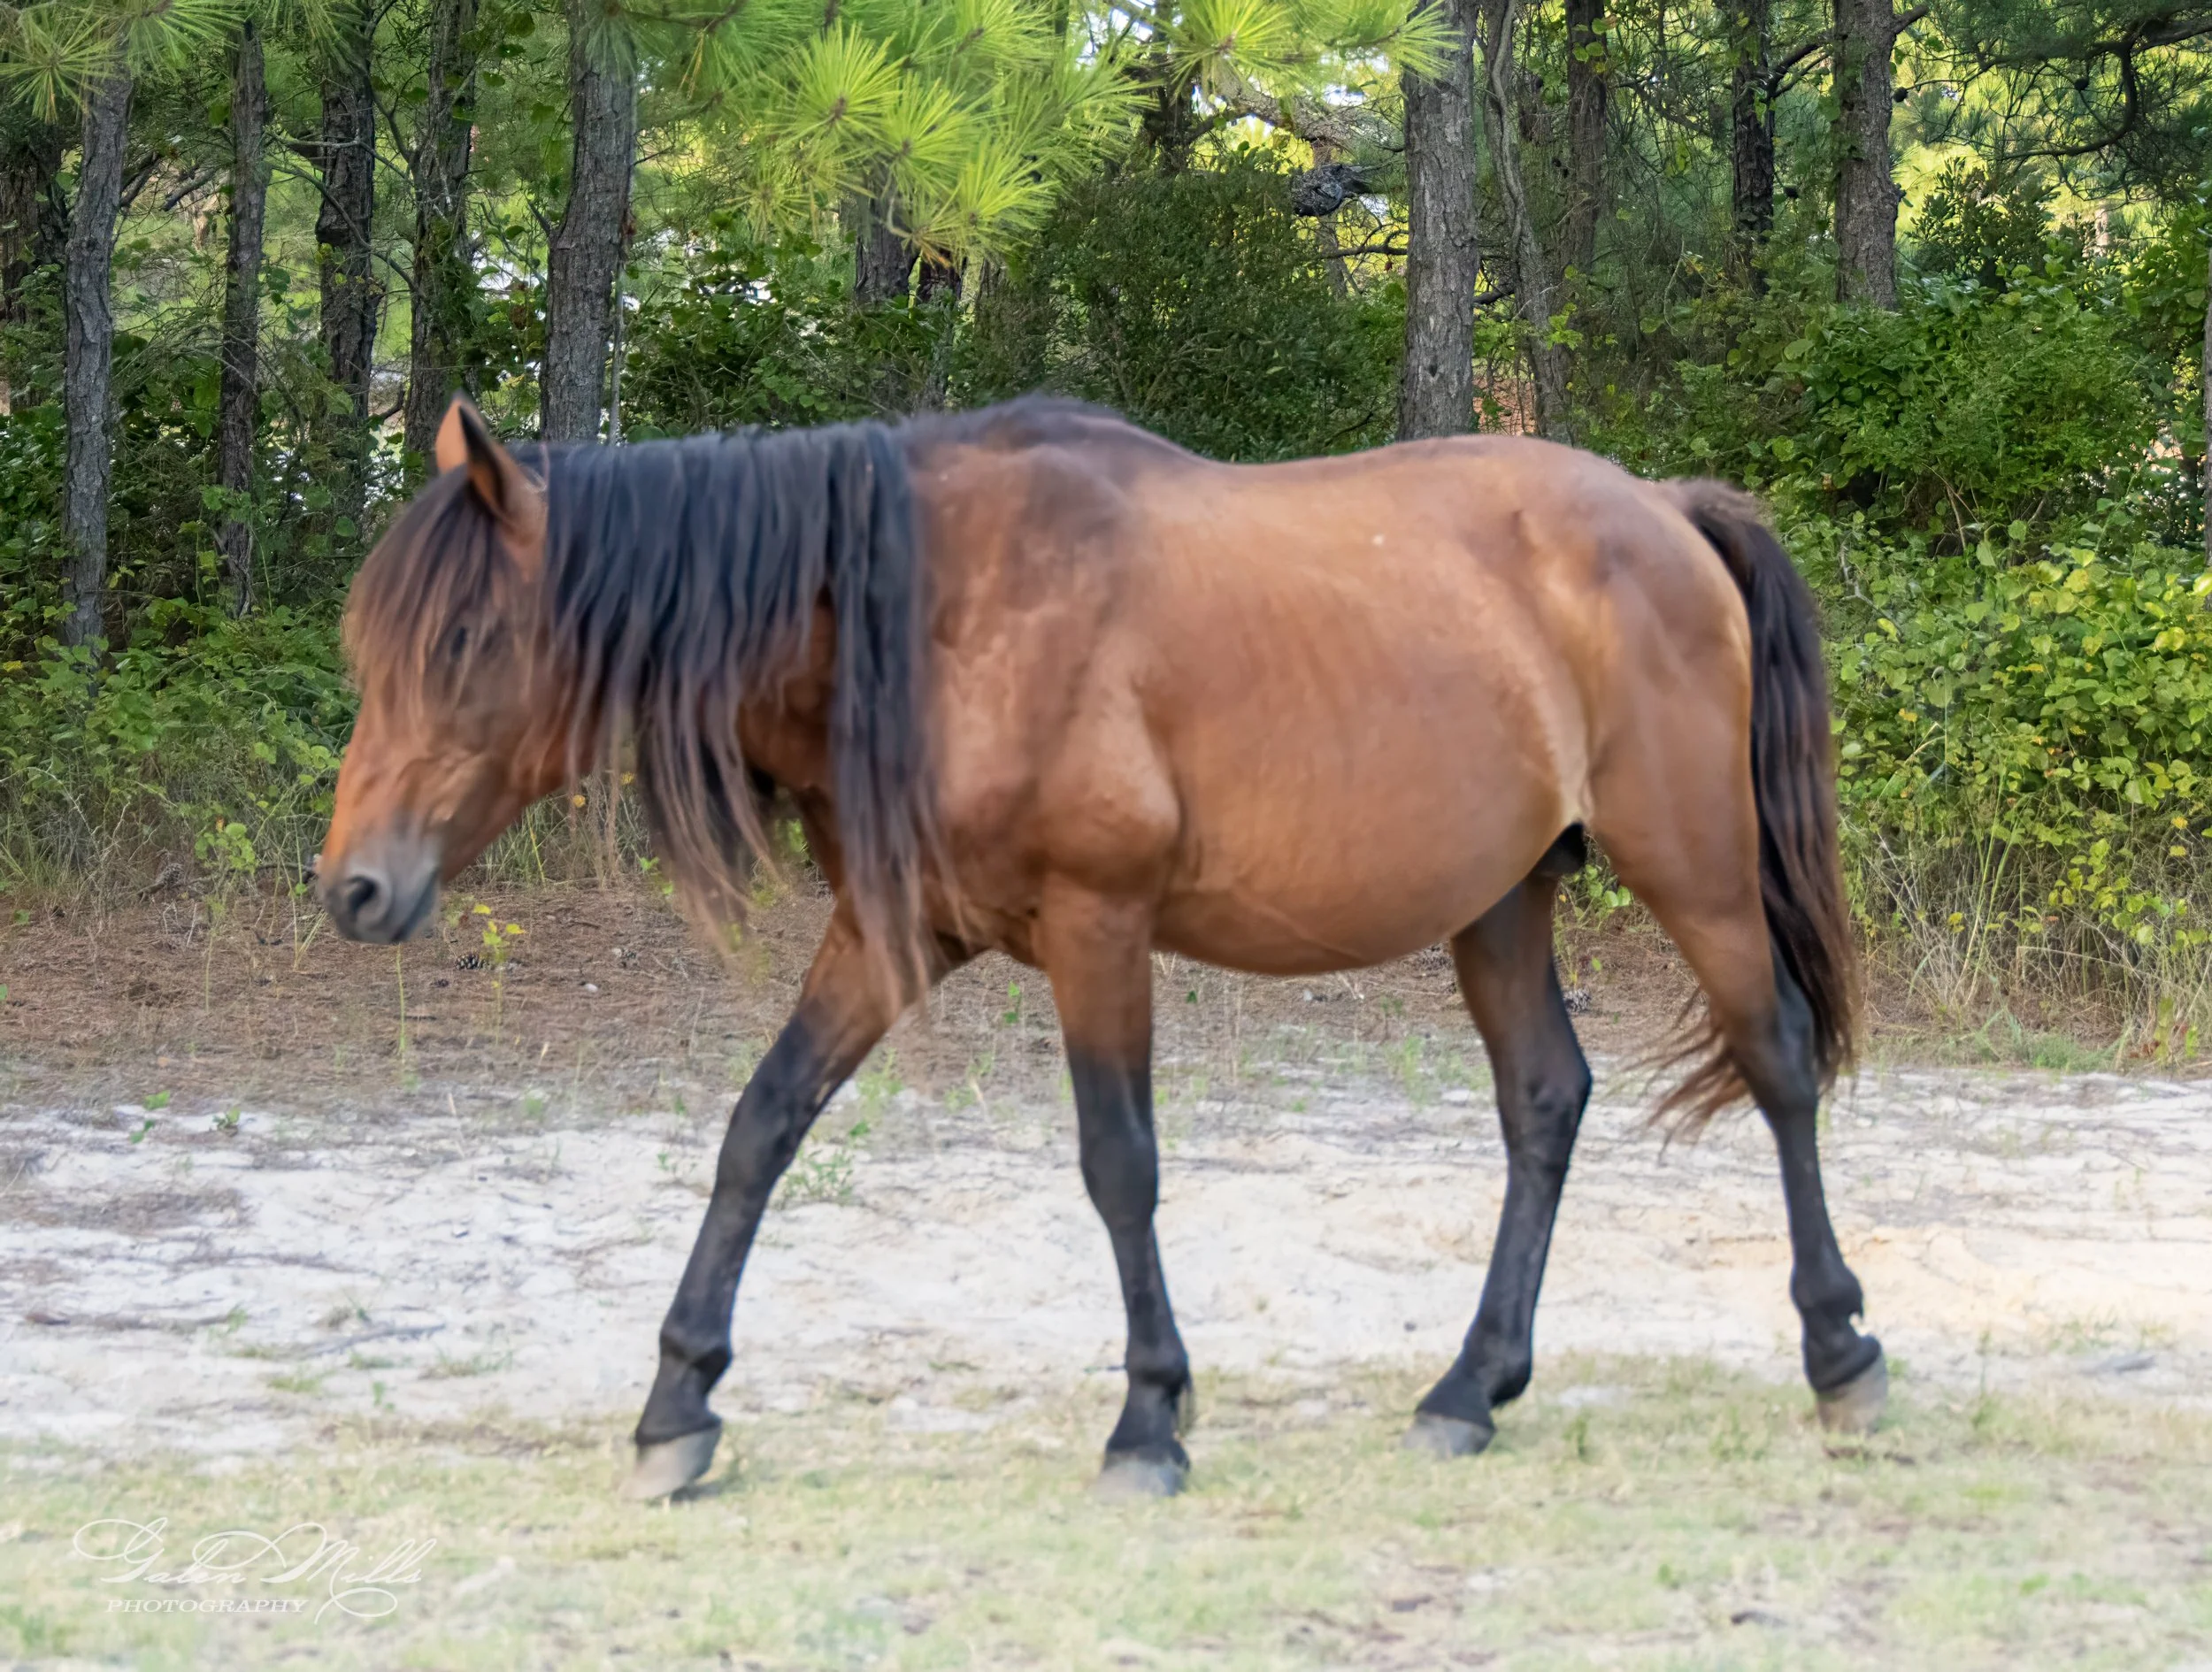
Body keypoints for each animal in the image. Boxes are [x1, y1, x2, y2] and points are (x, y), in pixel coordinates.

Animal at [318, 393, 1886, 1502]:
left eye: (462, 642)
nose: (354, 889)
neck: (935, 619)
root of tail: (1666, 510)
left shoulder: (1099, 924)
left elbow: (1119, 1163)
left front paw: (1147, 1417)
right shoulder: (891, 934)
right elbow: (761, 1126)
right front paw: (676, 1407)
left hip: (1694, 869)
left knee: (1777, 1064)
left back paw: (1840, 1352)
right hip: (1499, 897)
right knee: (1544, 1100)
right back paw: (1468, 1390)